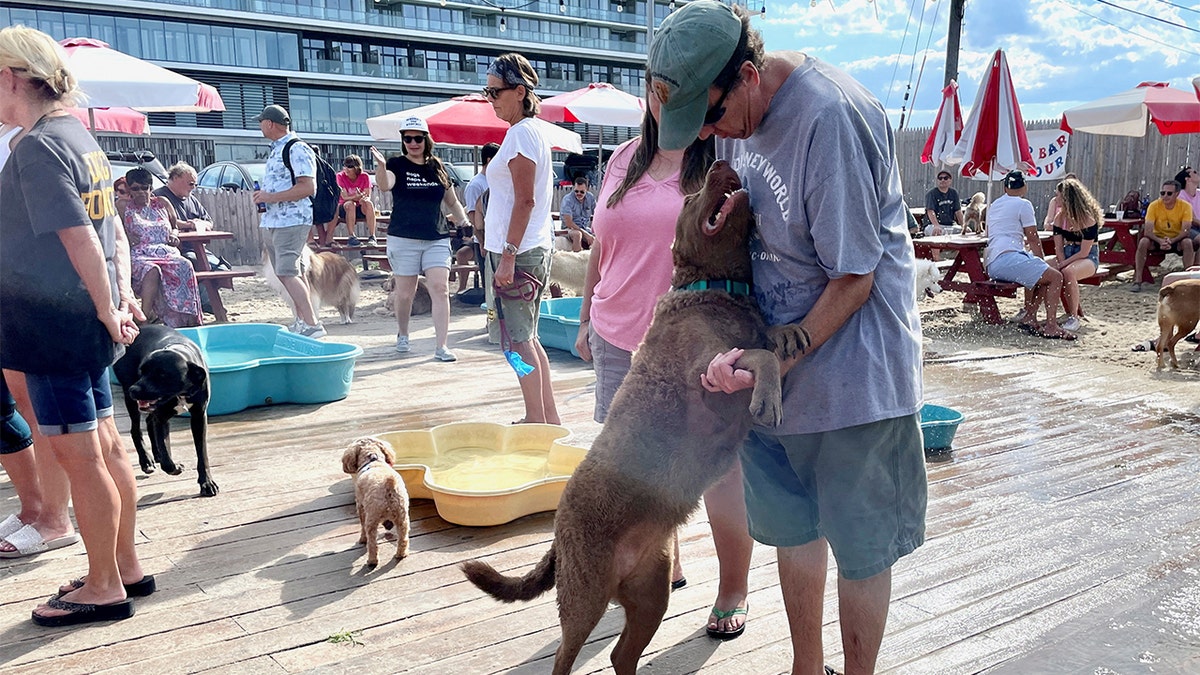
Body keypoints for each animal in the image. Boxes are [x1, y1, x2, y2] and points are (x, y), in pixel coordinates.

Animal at [113, 324, 219, 497]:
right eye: (142, 371)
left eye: (162, 374)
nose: (133, 390)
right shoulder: (162, 418)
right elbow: (167, 459)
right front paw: (175, 467)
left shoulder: (199, 417)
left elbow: (202, 454)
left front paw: (207, 483)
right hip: (131, 401)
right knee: (136, 429)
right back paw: (147, 461)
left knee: (149, 421)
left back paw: (155, 454)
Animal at [458, 163, 806, 672]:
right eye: (691, 199)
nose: (720, 165)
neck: (714, 290)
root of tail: (559, 528)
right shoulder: (709, 373)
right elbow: (758, 355)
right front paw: (768, 397)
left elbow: (766, 339)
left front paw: (789, 331)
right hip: (584, 595)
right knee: (565, 655)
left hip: (650, 592)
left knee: (622, 654)